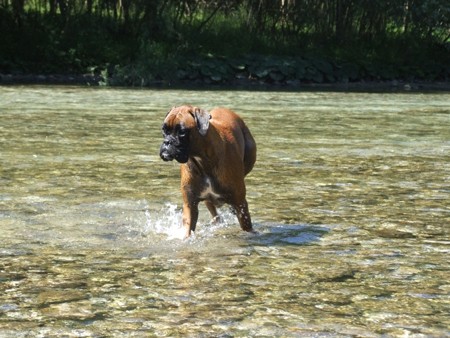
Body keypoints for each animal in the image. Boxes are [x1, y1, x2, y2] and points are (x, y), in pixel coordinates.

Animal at [160, 104, 256, 239]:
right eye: (164, 130)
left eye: (182, 132)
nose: (167, 142)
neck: (203, 161)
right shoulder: (190, 205)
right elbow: (188, 229)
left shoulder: (240, 203)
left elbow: (247, 227)